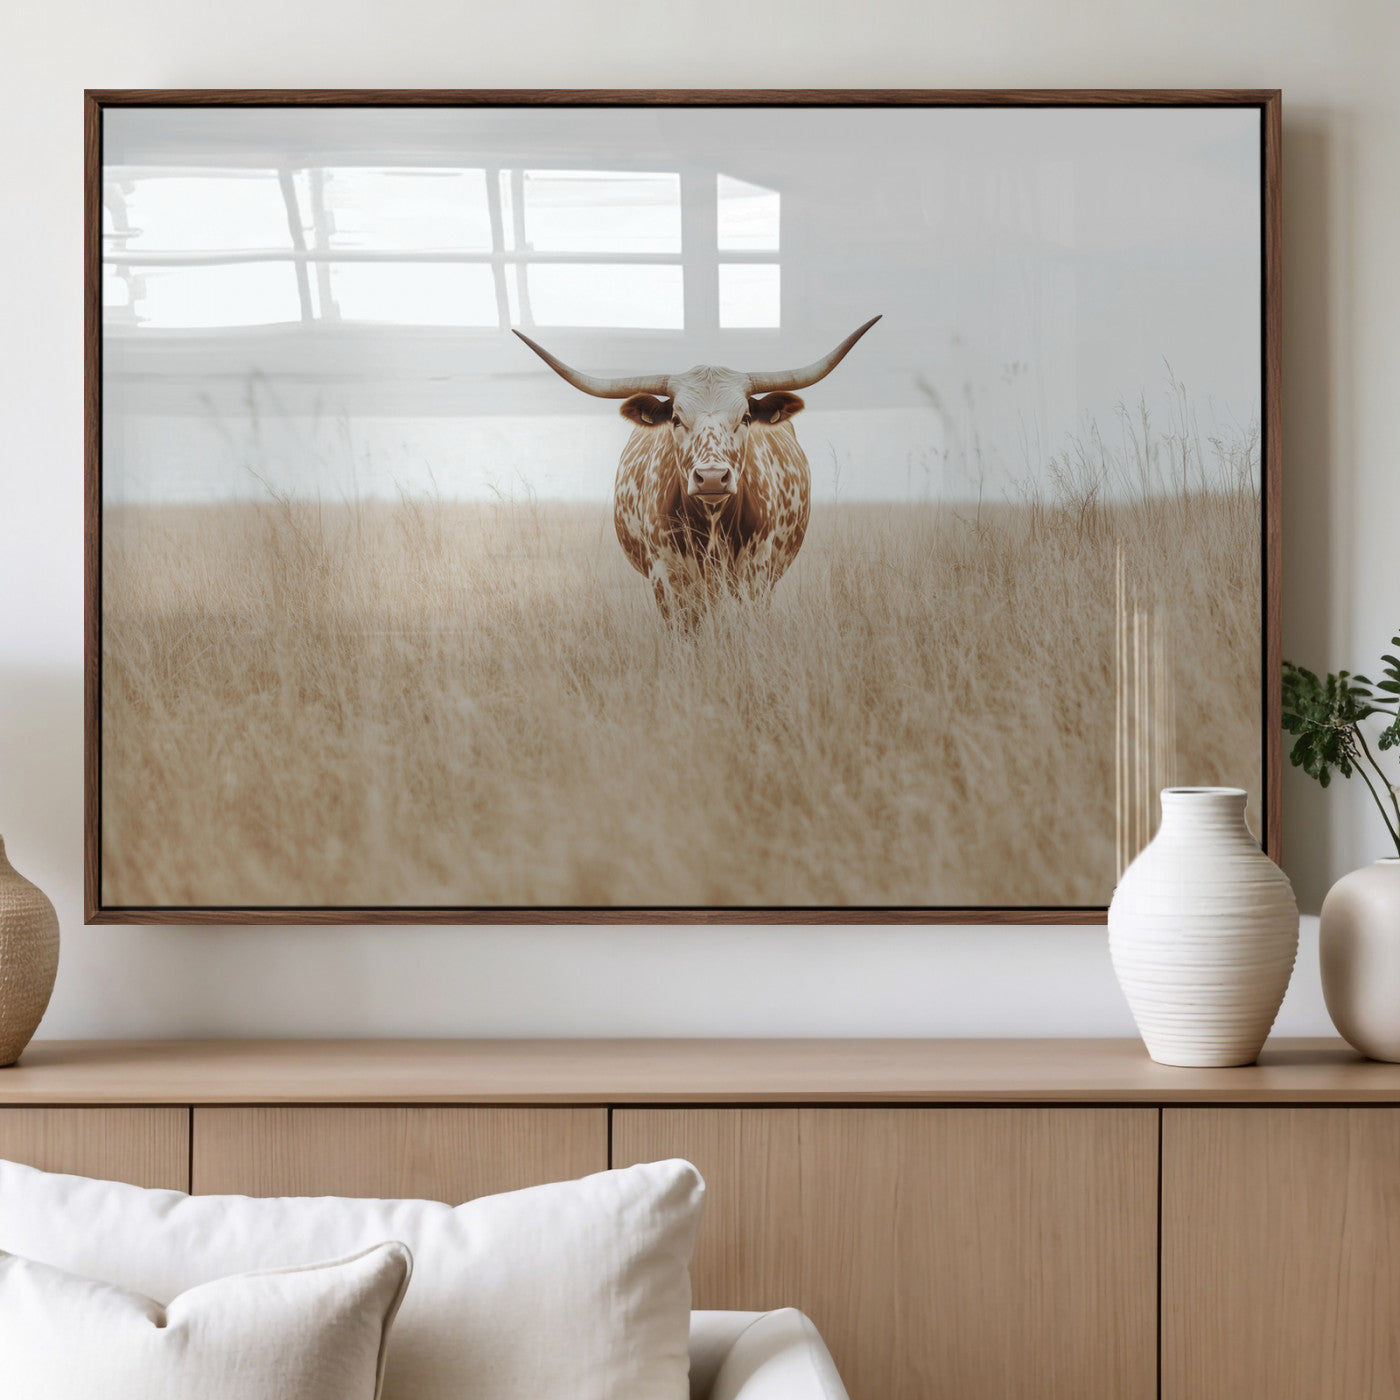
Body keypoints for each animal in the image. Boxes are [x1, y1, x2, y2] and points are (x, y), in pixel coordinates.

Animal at [514, 317, 881, 622]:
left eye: (745, 417)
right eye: (676, 418)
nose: (712, 478)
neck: (712, 524)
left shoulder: (756, 575)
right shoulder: (666, 579)